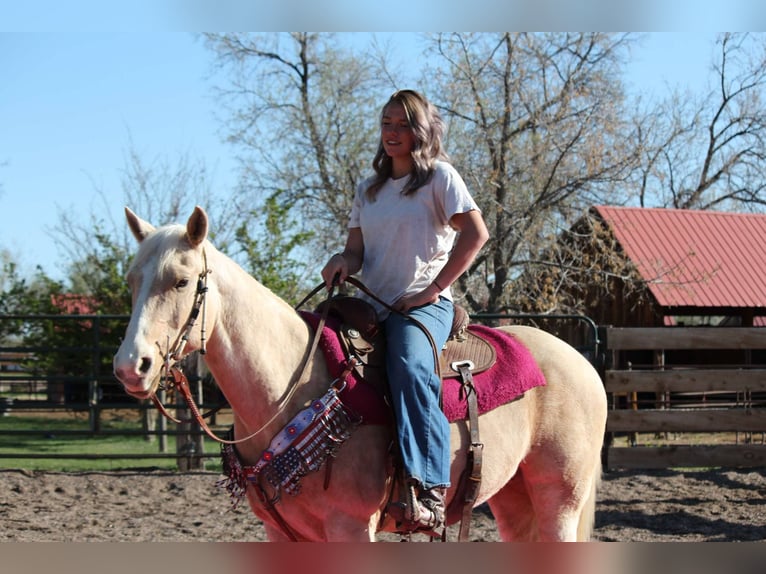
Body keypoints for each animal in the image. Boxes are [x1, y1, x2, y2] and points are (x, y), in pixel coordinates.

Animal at [113, 206, 608, 542]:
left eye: (181, 280)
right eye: (133, 281)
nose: (129, 366)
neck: (287, 394)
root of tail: (582, 361)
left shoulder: (350, 527)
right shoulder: (281, 534)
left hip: (561, 498)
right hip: (514, 497)